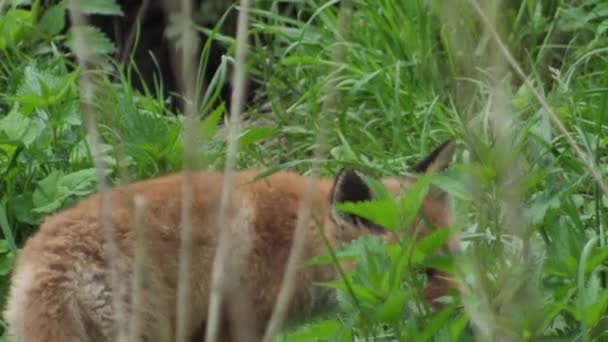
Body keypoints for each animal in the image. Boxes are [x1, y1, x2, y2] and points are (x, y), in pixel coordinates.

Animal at [3, 140, 456, 342]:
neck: (299, 243)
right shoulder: (233, 328)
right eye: (418, 273)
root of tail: (49, 261)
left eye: (451, 261)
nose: (463, 318)